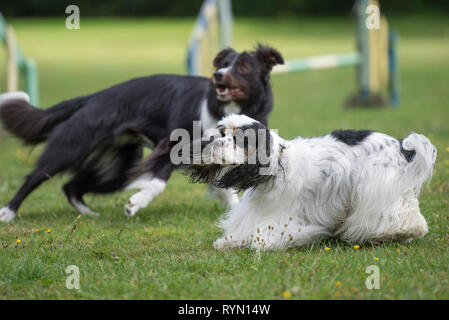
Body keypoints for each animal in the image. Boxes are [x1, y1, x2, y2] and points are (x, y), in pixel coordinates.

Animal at [0, 44, 284, 222]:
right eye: (224, 64)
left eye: (243, 67)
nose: (218, 75)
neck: (225, 107)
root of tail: (93, 97)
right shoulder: (174, 146)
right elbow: (157, 182)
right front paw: (135, 203)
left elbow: (224, 186)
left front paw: (233, 211)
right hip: (73, 147)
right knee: (35, 177)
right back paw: (8, 213)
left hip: (118, 167)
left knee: (72, 186)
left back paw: (88, 214)